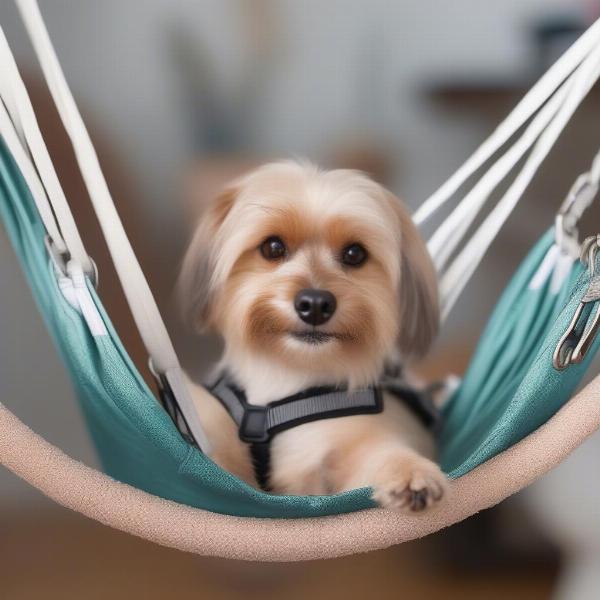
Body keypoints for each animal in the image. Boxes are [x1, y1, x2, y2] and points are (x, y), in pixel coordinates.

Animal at [180, 161, 448, 510]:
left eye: (355, 253)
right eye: (273, 247)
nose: (316, 304)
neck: (288, 379)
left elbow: (382, 453)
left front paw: (412, 473)